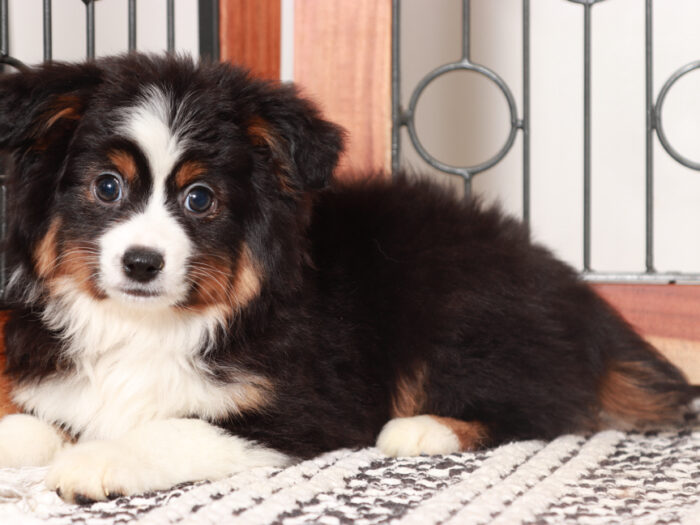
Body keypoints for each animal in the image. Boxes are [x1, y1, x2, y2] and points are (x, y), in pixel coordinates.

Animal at [0, 54, 692, 504]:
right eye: (106, 187)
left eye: (200, 199)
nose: (142, 263)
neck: (146, 325)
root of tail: (574, 290)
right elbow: (32, 420)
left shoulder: (306, 406)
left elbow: (178, 426)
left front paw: (98, 460)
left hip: (457, 302)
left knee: (541, 408)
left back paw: (422, 429)